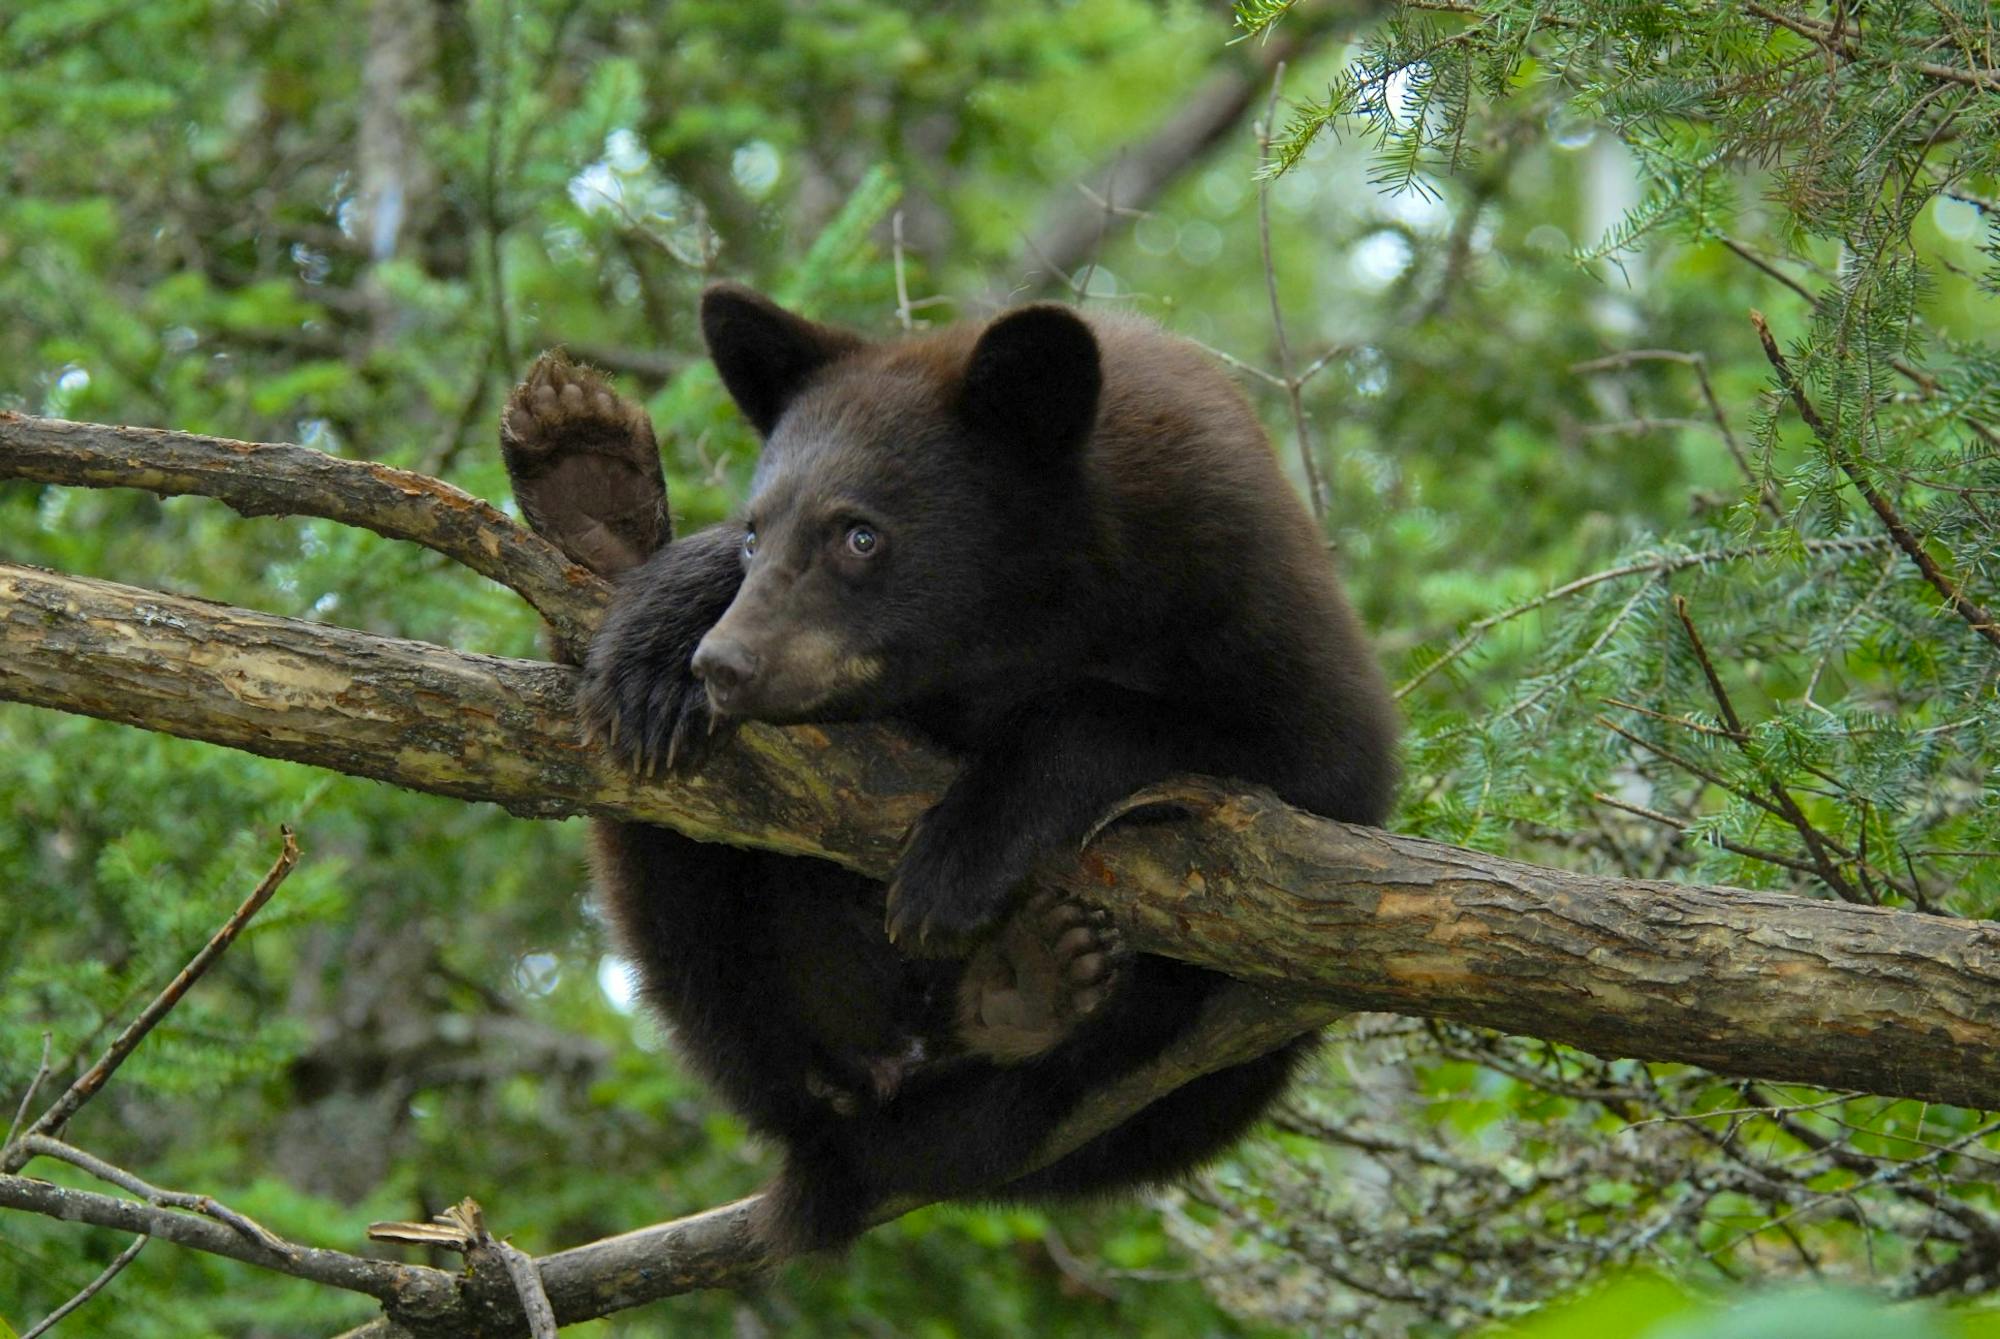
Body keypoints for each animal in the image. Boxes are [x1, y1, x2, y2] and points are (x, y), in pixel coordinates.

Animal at [499, 284, 1397, 1255]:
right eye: (752, 534)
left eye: (861, 535)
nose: (723, 665)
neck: (1027, 625)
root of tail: (845, 1109)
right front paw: (654, 647)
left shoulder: (1245, 590)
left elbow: (1278, 754)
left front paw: (957, 859)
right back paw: (593, 496)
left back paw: (1029, 981)